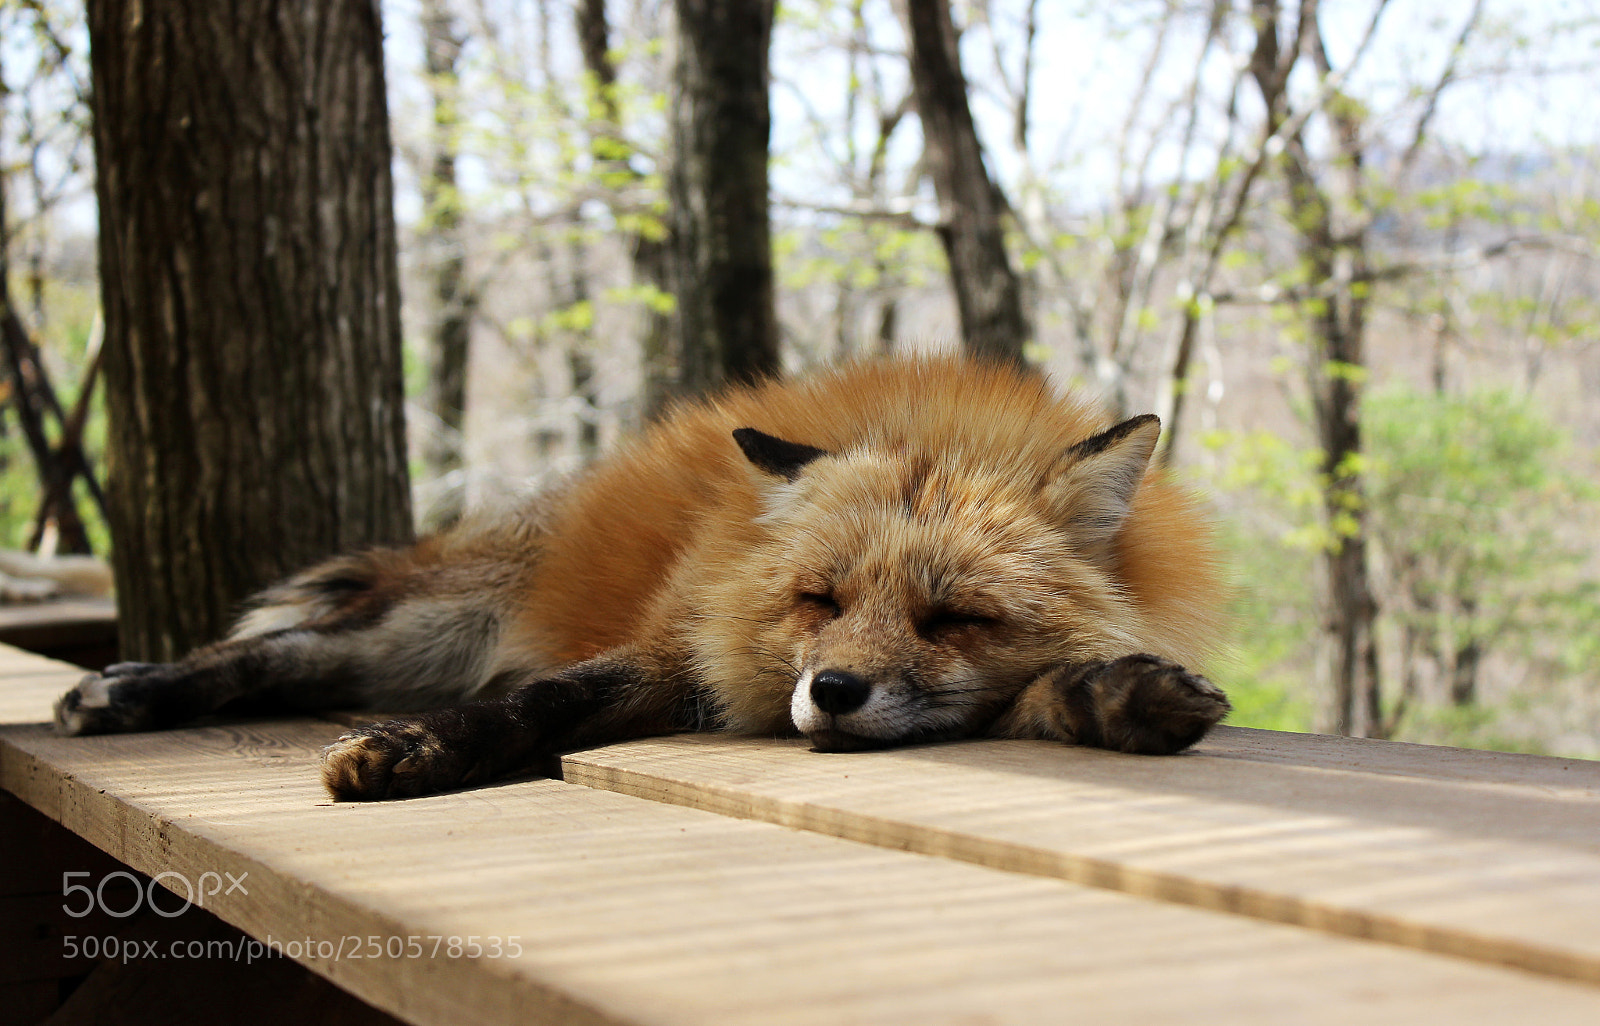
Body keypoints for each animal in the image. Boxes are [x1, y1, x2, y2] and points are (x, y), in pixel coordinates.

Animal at [53, 357, 1230, 801]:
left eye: (953, 618)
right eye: (817, 601)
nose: (831, 692)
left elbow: (1044, 692)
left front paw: (1121, 696)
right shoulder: (675, 648)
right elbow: (540, 702)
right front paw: (415, 750)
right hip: (427, 629)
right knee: (278, 654)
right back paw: (132, 689)